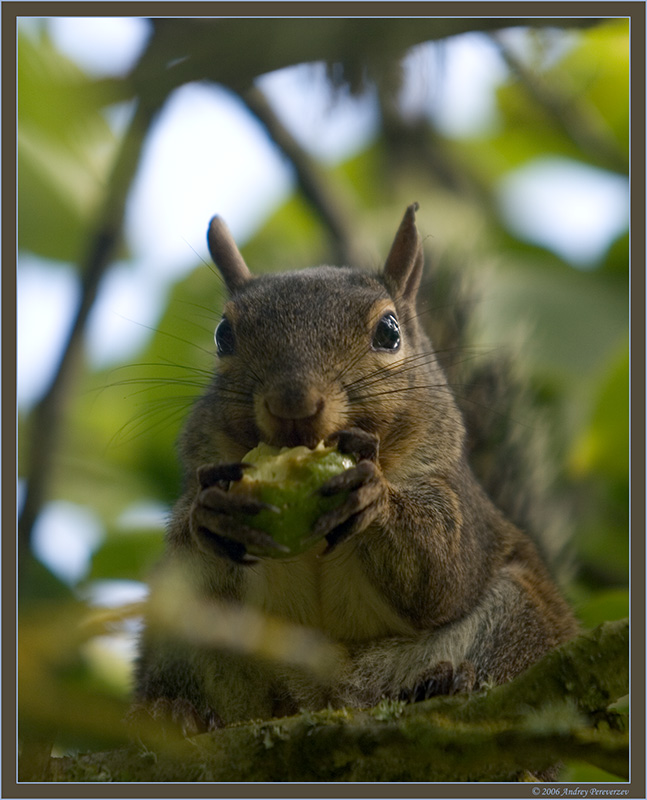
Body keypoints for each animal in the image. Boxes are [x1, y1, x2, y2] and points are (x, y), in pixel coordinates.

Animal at [132, 205, 576, 736]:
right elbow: (193, 569)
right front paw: (211, 514)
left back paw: (448, 684)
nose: (293, 403)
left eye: (389, 332)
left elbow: (441, 570)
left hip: (517, 619)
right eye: (223, 335)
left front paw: (373, 497)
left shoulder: (458, 501)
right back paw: (176, 712)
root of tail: (329, 697)